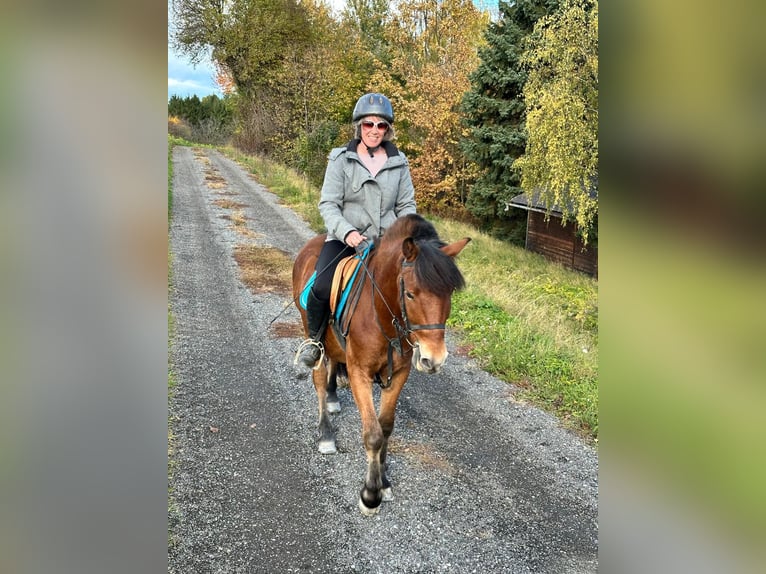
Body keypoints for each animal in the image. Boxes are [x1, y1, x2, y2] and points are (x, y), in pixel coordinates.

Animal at [292, 214, 470, 515]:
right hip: (312, 332)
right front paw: (370, 494)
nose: (434, 359)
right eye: (410, 294)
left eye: (449, 294)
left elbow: (386, 427)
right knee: (318, 378)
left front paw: (384, 481)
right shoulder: (359, 373)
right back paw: (326, 433)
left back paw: (333, 397)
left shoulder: (398, 374)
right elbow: (373, 434)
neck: (382, 314)